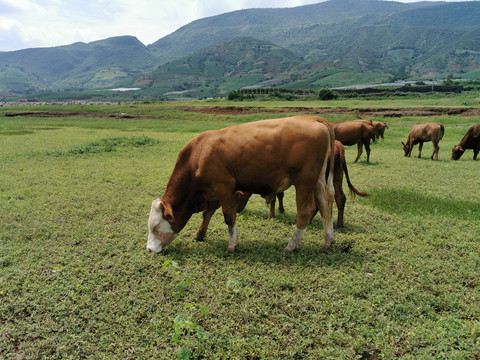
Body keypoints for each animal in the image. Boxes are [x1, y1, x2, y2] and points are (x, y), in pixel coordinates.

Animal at [148, 115, 336, 253]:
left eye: (156, 228)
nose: (149, 249)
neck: (199, 155)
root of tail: (313, 119)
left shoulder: (224, 188)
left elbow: (228, 216)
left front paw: (232, 245)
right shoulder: (213, 192)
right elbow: (207, 214)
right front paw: (199, 235)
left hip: (304, 181)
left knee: (305, 211)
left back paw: (291, 246)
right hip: (319, 181)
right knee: (325, 206)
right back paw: (328, 241)